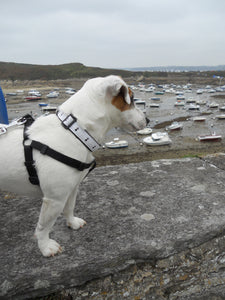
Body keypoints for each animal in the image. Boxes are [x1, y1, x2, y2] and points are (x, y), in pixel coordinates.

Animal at [0, 75, 147, 255]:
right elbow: (43, 227)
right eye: (131, 99)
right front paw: (45, 246)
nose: (148, 120)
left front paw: (72, 223)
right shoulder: (54, 200)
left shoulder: (72, 189)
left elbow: (69, 208)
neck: (75, 131)